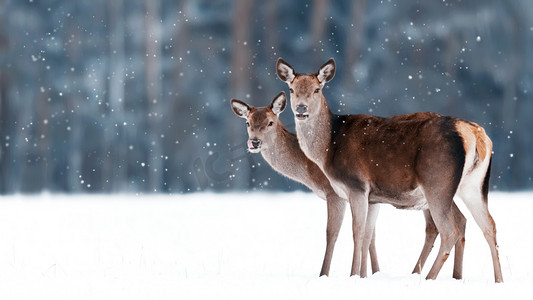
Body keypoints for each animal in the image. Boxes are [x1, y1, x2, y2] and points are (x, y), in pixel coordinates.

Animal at [231, 92, 380, 276]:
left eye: (270, 122)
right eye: (248, 122)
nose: (254, 142)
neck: (309, 171)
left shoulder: (334, 193)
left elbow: (332, 233)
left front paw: (324, 274)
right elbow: (371, 236)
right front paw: (375, 273)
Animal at [276, 57, 500, 282]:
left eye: (317, 89)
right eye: (292, 89)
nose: (301, 109)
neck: (328, 147)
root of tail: (475, 134)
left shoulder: (356, 185)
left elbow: (356, 232)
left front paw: (352, 275)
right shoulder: (373, 197)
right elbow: (367, 235)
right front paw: (362, 275)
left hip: (437, 183)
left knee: (449, 230)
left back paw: (428, 277)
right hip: (472, 186)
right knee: (487, 224)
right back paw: (497, 279)